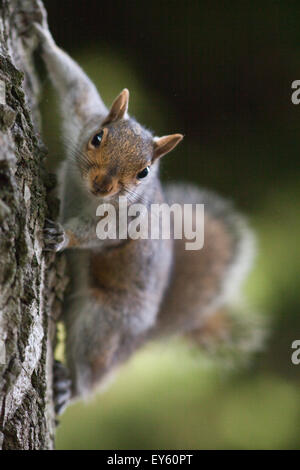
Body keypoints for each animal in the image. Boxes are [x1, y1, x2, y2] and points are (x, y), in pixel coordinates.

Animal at [23, 3, 254, 414]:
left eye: (144, 172)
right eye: (98, 137)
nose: (102, 184)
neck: (91, 197)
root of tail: (142, 336)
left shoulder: (125, 220)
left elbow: (98, 234)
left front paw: (62, 234)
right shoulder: (85, 114)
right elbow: (74, 84)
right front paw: (40, 32)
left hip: (106, 322)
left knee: (95, 370)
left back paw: (70, 388)